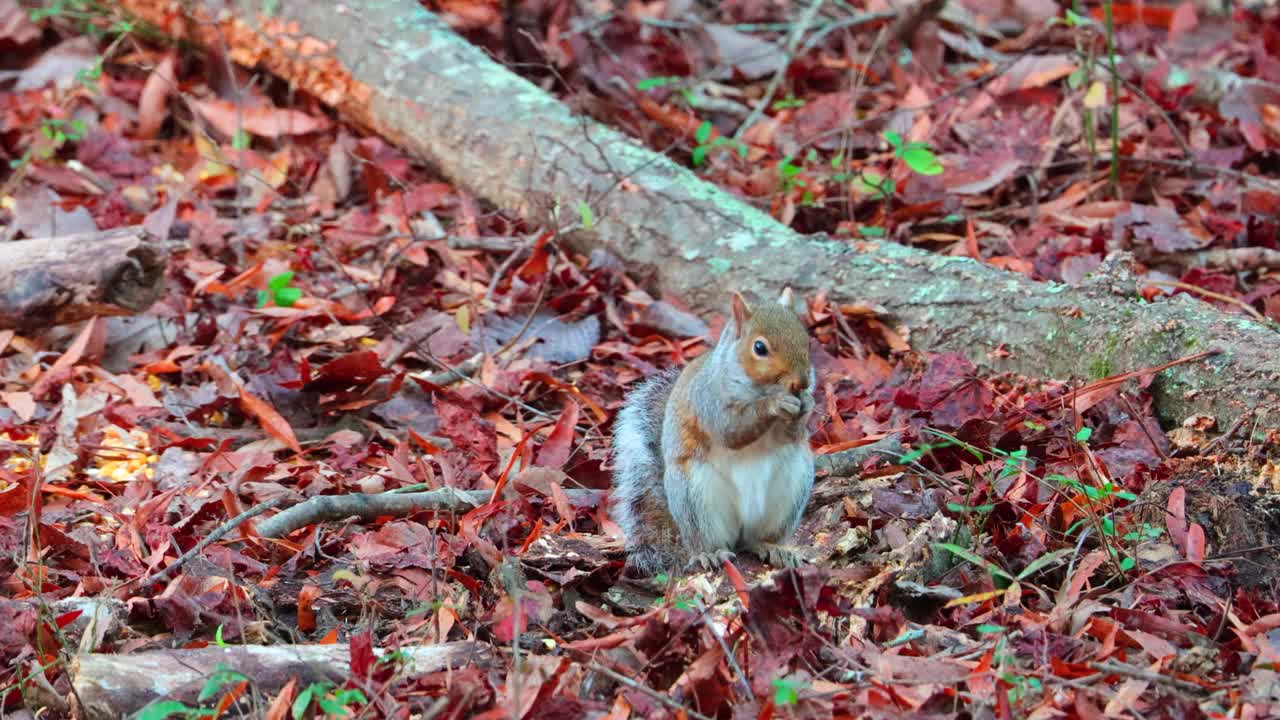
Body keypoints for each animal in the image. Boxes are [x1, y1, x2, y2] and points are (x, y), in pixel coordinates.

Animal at [611, 285, 814, 571]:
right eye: (759, 348)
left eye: (807, 341)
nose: (801, 382)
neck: (758, 387)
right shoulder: (708, 399)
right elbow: (730, 430)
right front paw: (774, 404)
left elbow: (791, 435)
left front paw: (807, 403)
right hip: (695, 497)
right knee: (709, 539)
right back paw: (710, 554)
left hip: (793, 487)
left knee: (755, 539)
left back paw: (773, 547)